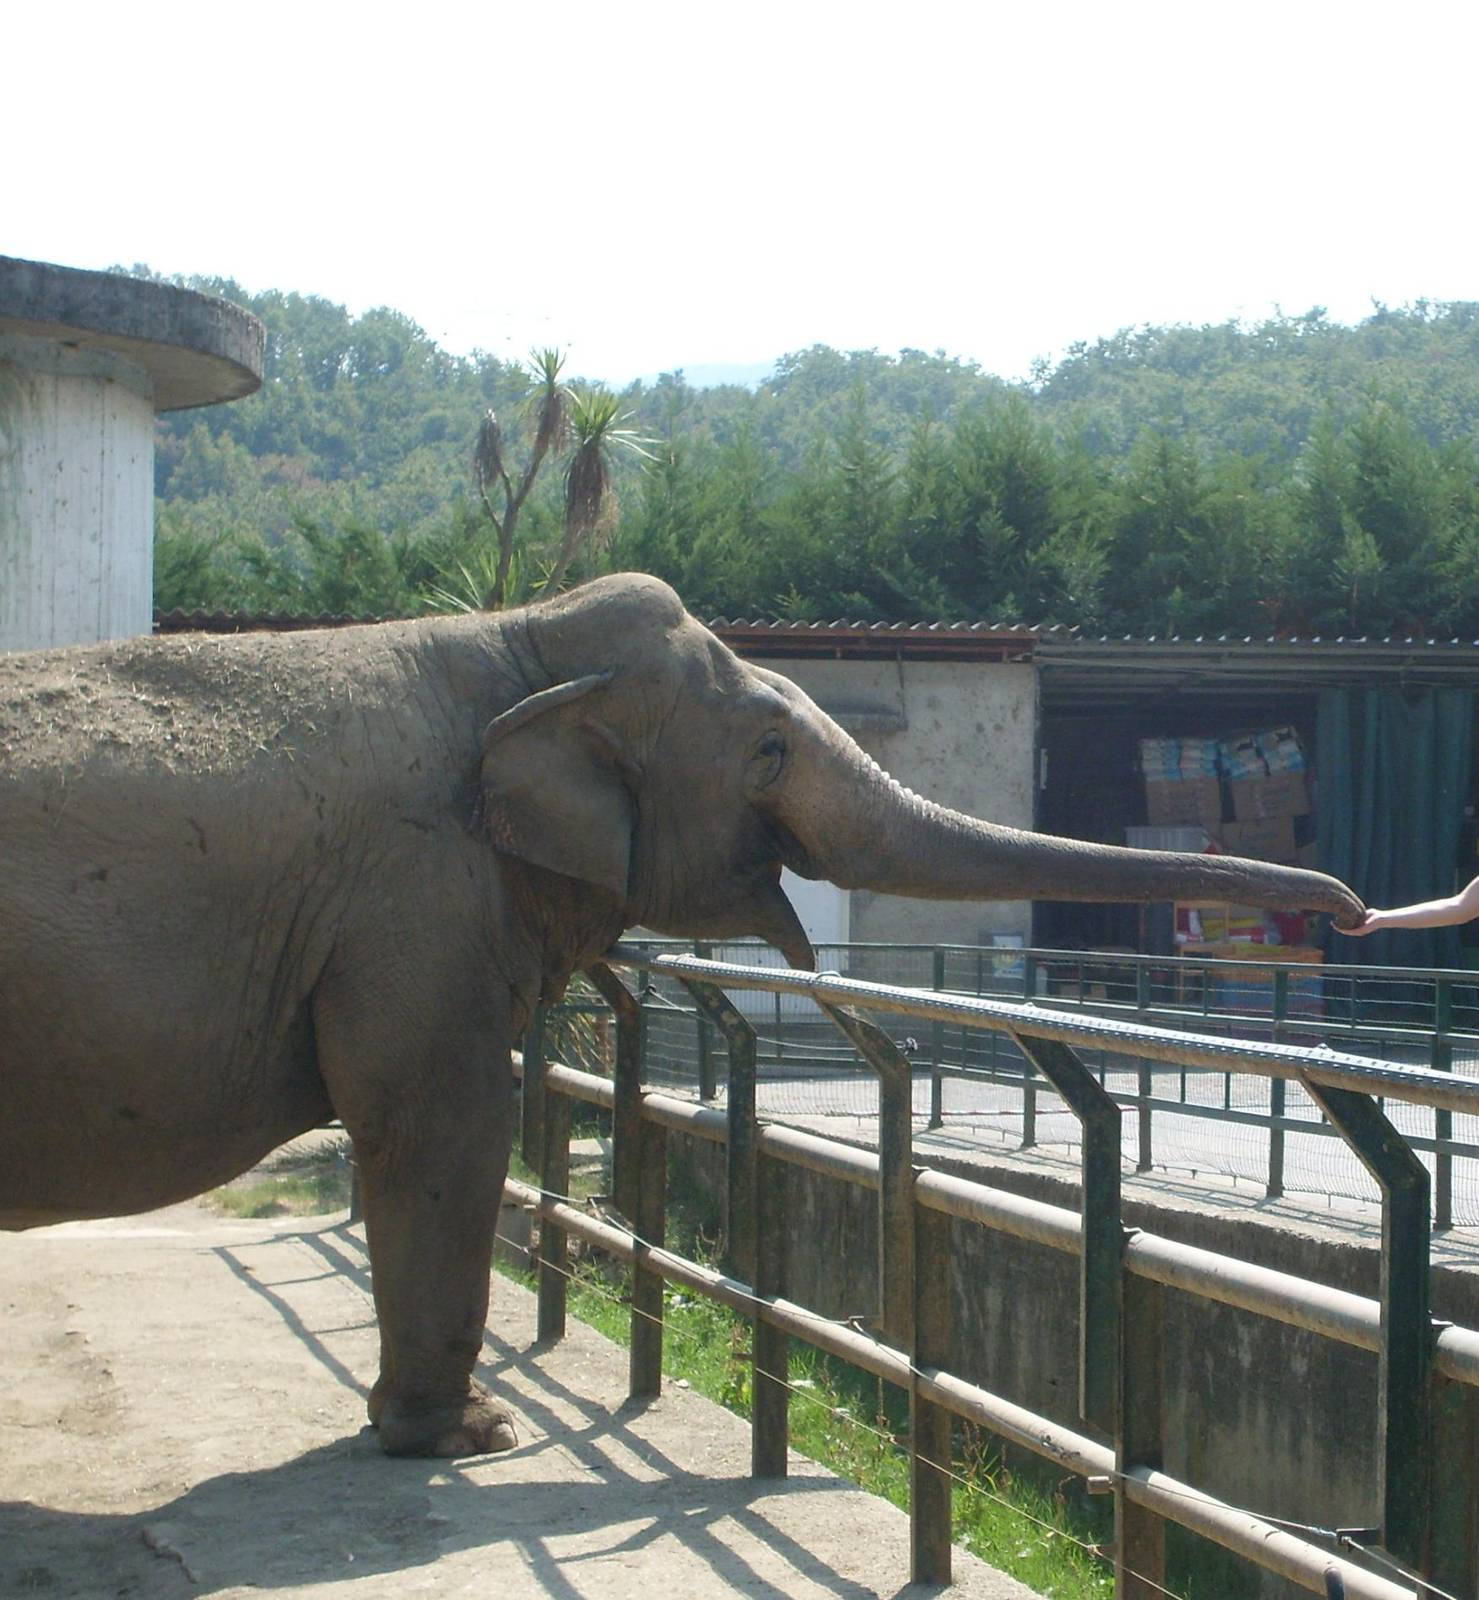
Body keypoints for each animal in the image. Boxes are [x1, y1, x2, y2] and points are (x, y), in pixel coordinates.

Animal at [0, 573, 1365, 1457]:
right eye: (766, 749)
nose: (1353, 912)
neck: (513, 641)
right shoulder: (413, 897)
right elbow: (440, 1123)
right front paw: (471, 1437)